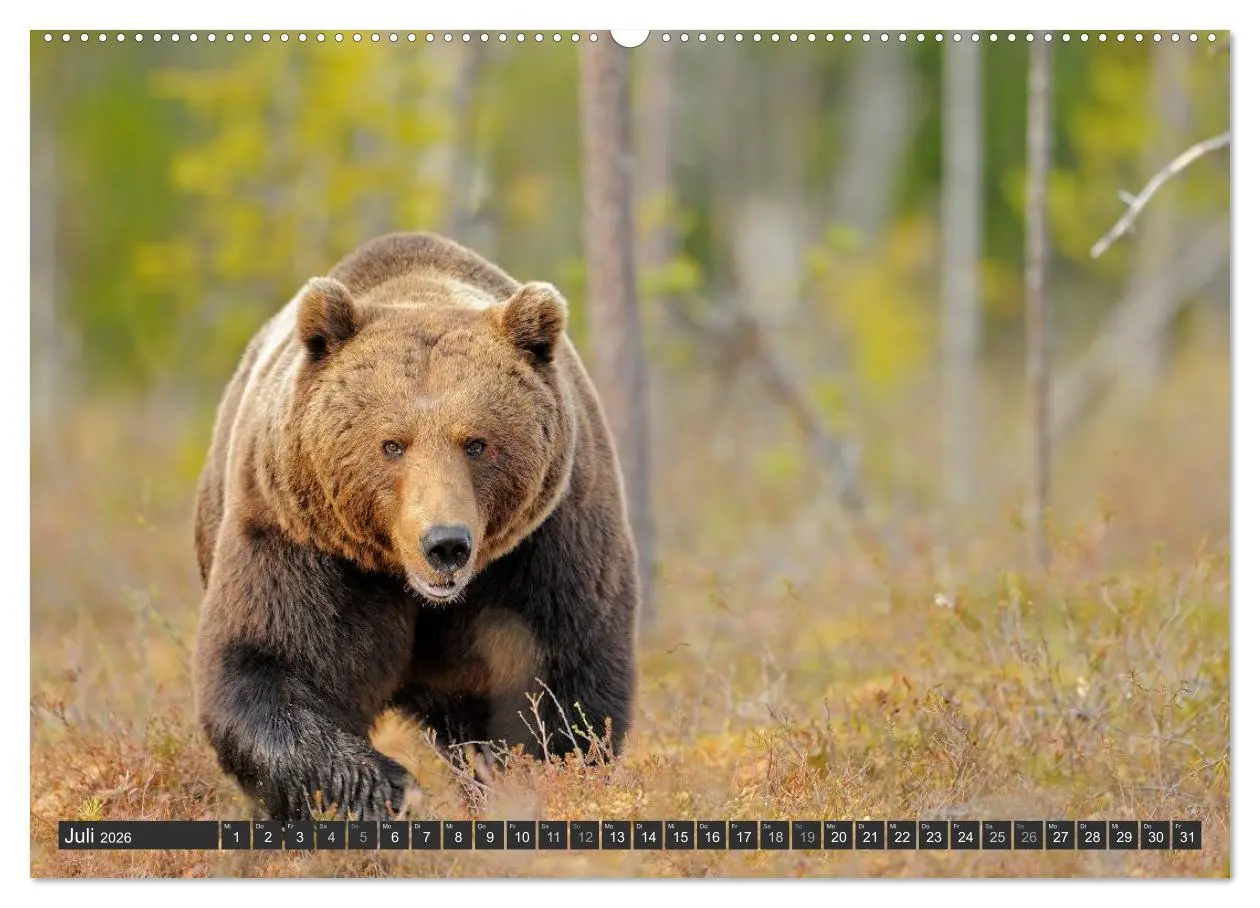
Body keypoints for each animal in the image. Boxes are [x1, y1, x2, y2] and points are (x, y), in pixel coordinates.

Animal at [192, 232, 640, 822]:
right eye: (392, 444)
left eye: (477, 442)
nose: (444, 544)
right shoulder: (301, 538)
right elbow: (270, 662)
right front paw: (385, 789)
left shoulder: (545, 545)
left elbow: (559, 688)